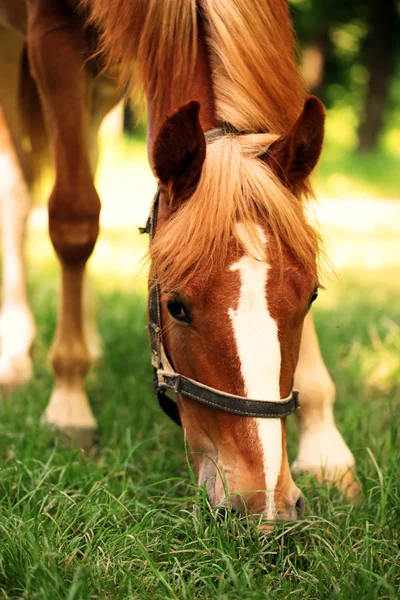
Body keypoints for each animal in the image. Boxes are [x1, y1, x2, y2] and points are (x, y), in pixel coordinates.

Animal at [0, 0, 358, 520]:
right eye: (176, 307)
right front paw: (68, 404)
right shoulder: (50, 28)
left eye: (311, 295)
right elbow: (73, 218)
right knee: (18, 187)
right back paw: (17, 350)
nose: (264, 503)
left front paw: (325, 443)